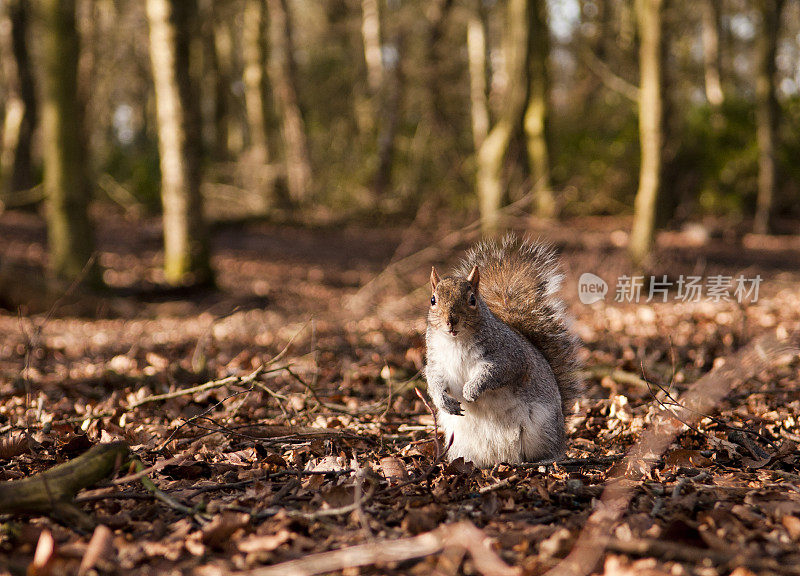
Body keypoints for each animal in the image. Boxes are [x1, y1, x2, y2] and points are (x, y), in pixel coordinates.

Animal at [424, 235, 580, 468]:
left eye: (472, 300)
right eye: (433, 300)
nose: (451, 321)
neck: (456, 341)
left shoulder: (509, 357)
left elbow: (495, 372)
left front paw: (471, 390)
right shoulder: (436, 361)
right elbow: (433, 379)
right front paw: (444, 401)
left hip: (543, 427)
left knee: (552, 450)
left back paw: (545, 458)